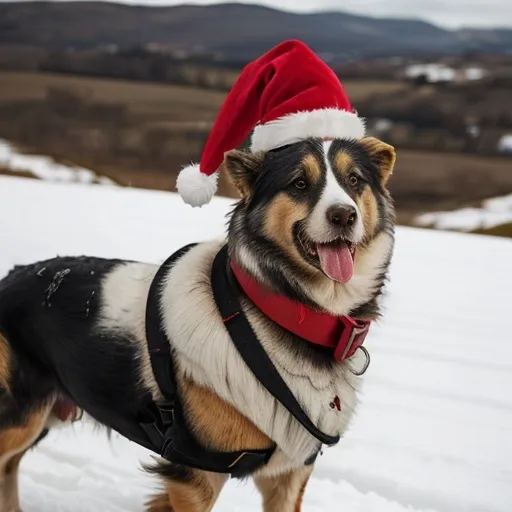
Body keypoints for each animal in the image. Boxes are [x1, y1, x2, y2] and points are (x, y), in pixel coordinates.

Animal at [0, 136, 396, 512]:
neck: (271, 310)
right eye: (299, 183)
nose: (344, 215)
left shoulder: (288, 474)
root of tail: (10, 277)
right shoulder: (195, 474)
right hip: (22, 418)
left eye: (354, 180)